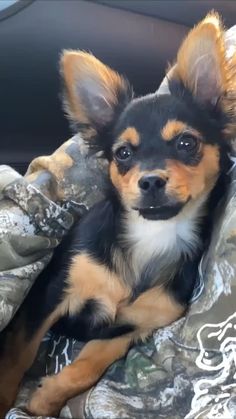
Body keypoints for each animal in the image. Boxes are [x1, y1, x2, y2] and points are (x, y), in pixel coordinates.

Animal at [0, 12, 236, 416]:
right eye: (123, 154)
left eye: (186, 143)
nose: (151, 180)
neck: (151, 237)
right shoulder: (49, 293)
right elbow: (19, 351)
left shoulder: (128, 329)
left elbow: (87, 368)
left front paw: (46, 398)